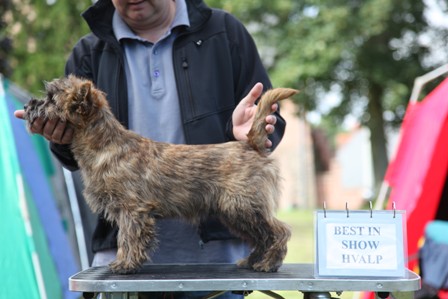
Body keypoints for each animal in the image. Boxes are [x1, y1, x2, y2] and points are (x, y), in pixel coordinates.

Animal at [23, 75, 298, 274]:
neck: (105, 145)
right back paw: (253, 261)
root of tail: (251, 144)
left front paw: (125, 264)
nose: (27, 105)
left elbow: (128, 238)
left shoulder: (132, 210)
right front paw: (126, 262)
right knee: (261, 236)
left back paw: (269, 263)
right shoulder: (126, 211)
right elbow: (125, 238)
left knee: (279, 231)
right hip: (234, 212)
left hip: (243, 206)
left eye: (51, 99)